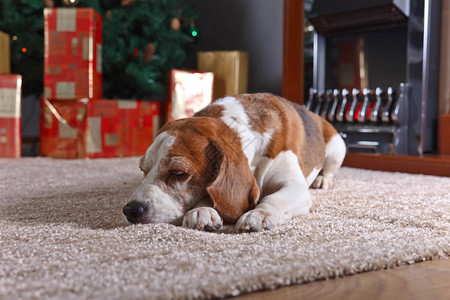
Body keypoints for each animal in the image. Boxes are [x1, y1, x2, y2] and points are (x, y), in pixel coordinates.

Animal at [121, 94, 346, 232]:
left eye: (178, 173)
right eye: (142, 170)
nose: (131, 210)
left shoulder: (295, 186)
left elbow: (274, 198)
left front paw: (259, 214)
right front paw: (202, 210)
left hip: (337, 147)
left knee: (329, 169)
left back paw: (323, 180)